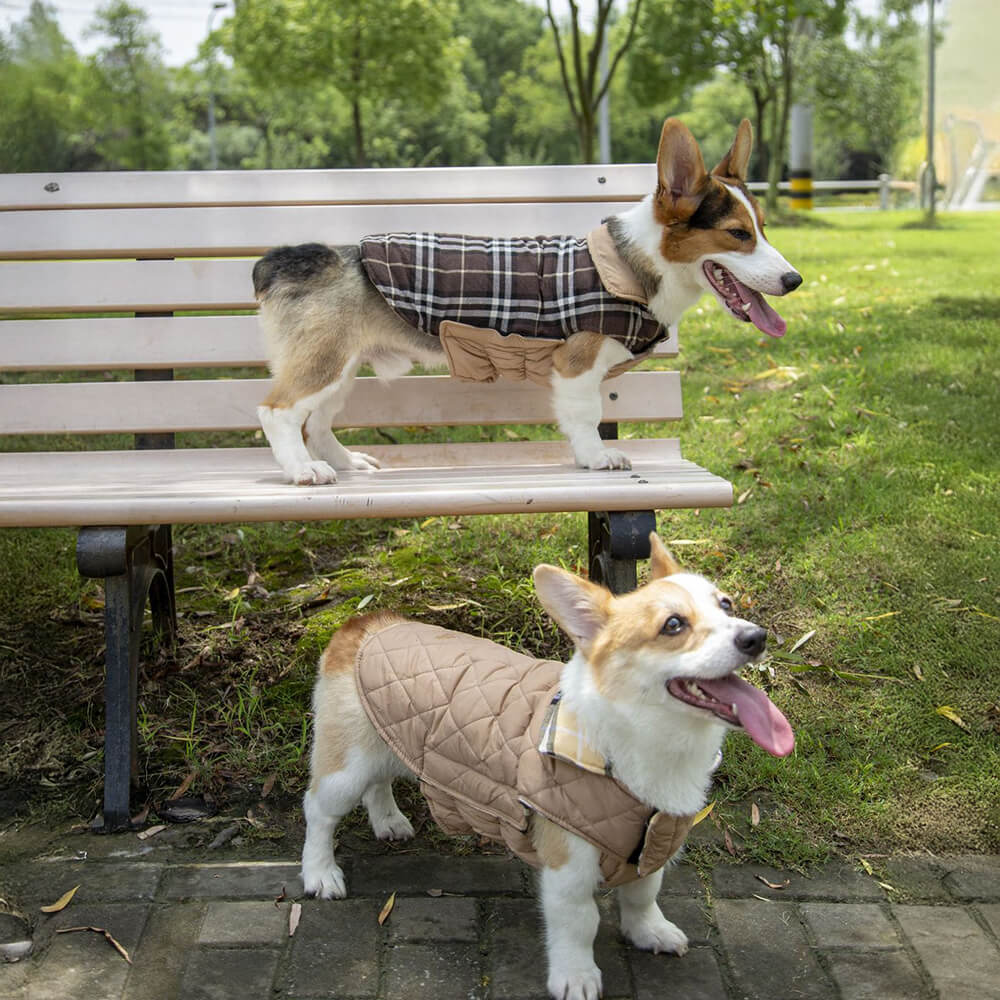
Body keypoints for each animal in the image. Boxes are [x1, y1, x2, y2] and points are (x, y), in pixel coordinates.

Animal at [254, 117, 800, 484]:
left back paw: (344, 462)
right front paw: (596, 458)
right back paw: (304, 471)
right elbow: (586, 416)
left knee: (318, 421)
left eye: (763, 228)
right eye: (737, 234)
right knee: (277, 411)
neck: (631, 265)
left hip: (341, 369)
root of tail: (305, 257)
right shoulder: (577, 364)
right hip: (324, 364)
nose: (794, 280)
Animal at [300, 540, 792, 1000]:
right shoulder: (567, 865)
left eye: (726, 604)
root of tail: (365, 625)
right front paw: (576, 976)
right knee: (319, 811)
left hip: (386, 744)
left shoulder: (653, 844)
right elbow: (579, 924)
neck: (642, 741)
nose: (756, 637)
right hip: (346, 768)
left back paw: (389, 821)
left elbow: (643, 894)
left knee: (378, 783)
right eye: (673, 625)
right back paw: (320, 873)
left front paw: (649, 931)